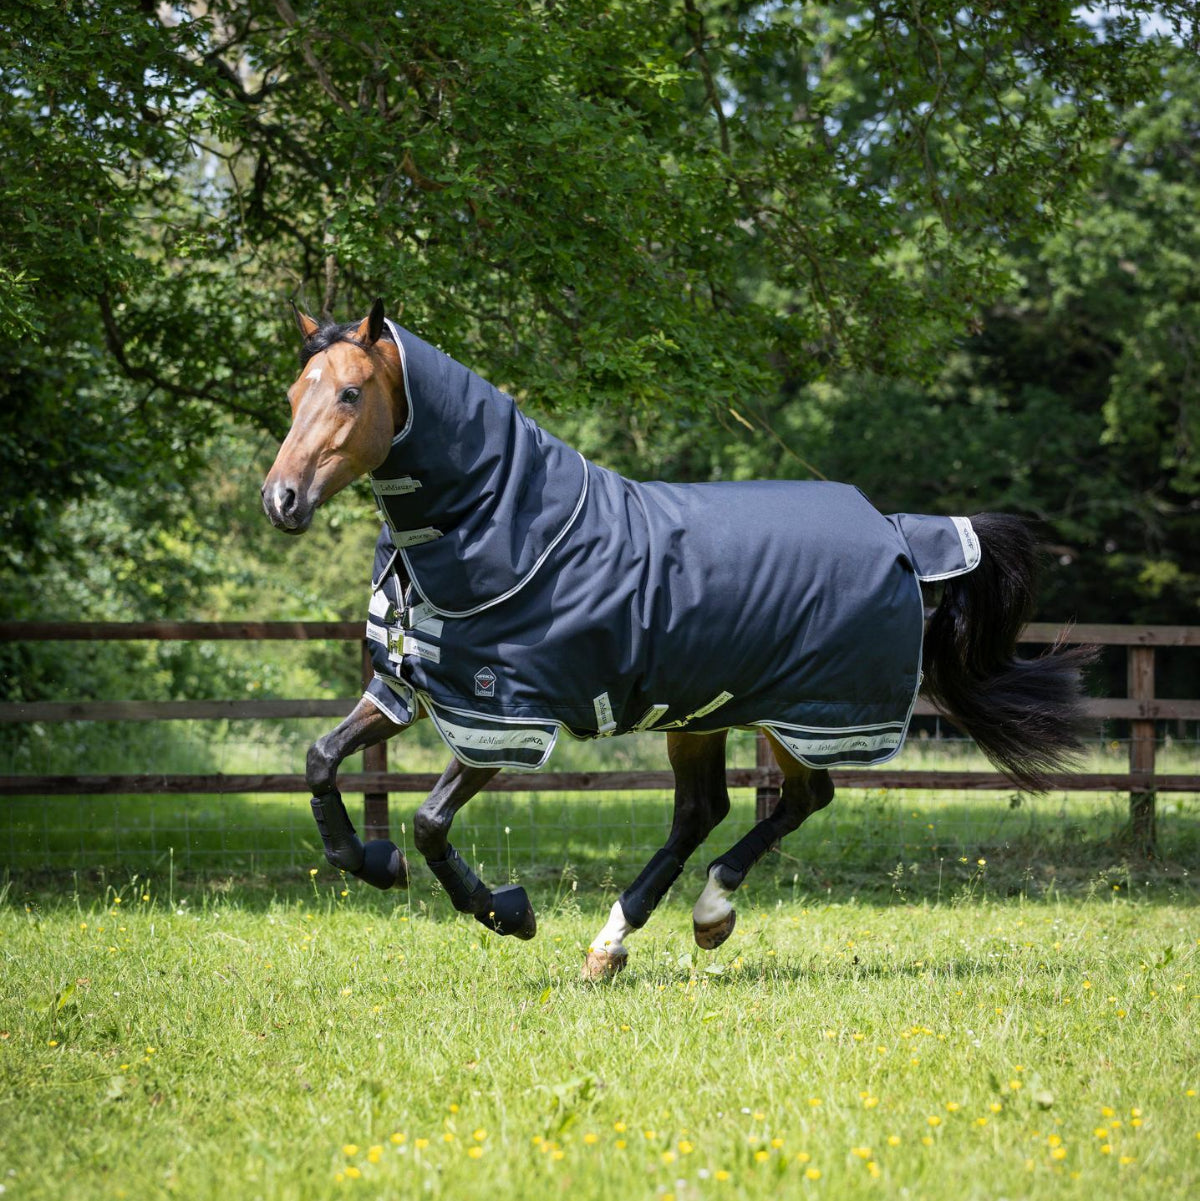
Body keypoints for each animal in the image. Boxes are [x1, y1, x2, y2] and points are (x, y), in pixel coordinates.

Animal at [262, 299, 1093, 980]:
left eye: (350, 392)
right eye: (295, 394)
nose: (281, 500)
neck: (505, 528)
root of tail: (897, 530)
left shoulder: (505, 720)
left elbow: (430, 822)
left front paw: (508, 910)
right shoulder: (407, 689)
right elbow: (320, 760)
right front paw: (372, 861)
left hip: (807, 712)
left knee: (797, 798)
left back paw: (699, 914)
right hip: (704, 711)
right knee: (709, 810)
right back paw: (622, 942)